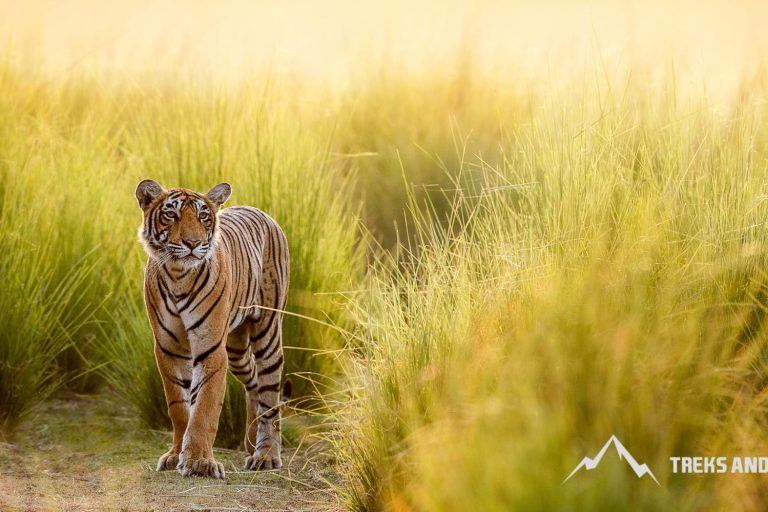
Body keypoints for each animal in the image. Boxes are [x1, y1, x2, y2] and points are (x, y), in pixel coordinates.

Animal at [135, 179, 290, 479]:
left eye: (203, 216)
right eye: (171, 214)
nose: (192, 243)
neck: (178, 275)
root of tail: (261, 211)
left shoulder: (210, 348)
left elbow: (205, 407)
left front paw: (199, 462)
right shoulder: (169, 349)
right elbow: (180, 408)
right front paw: (176, 456)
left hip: (267, 332)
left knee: (269, 396)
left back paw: (265, 455)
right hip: (237, 348)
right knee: (253, 382)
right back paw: (251, 441)